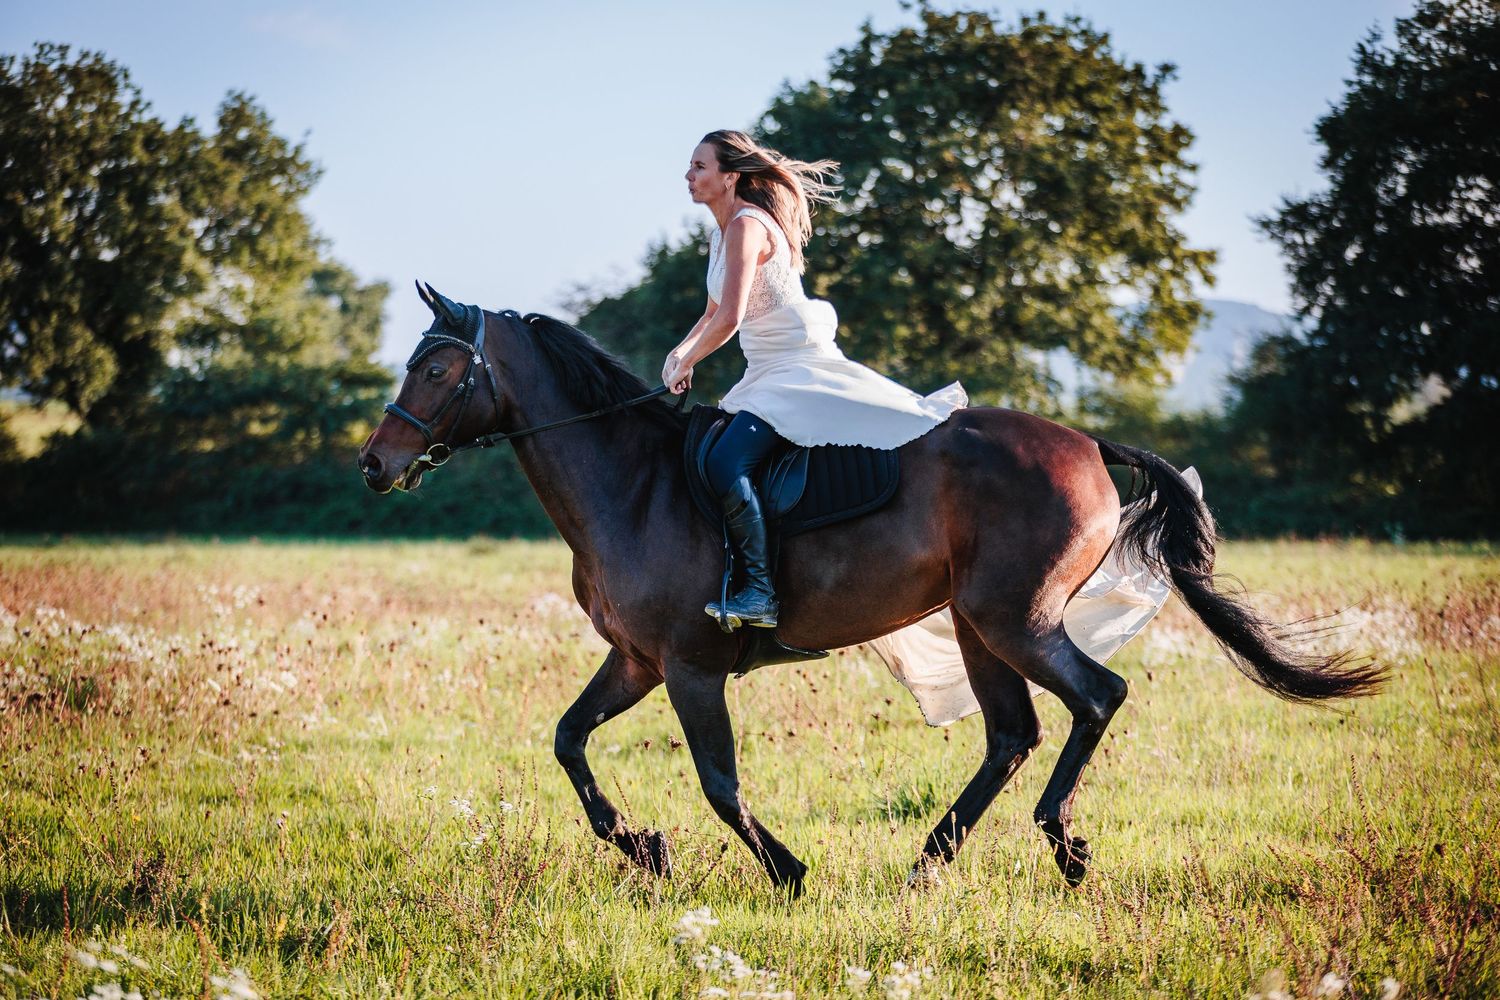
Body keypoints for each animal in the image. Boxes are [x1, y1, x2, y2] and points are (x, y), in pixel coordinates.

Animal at [357, 284, 1383, 896]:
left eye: (439, 366)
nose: (374, 465)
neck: (631, 478)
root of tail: (1088, 443)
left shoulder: (691, 668)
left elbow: (719, 784)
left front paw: (788, 872)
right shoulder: (638, 660)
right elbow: (569, 742)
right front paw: (643, 847)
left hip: (1015, 619)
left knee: (1097, 697)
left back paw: (1063, 845)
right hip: (975, 625)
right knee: (1013, 734)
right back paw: (930, 861)